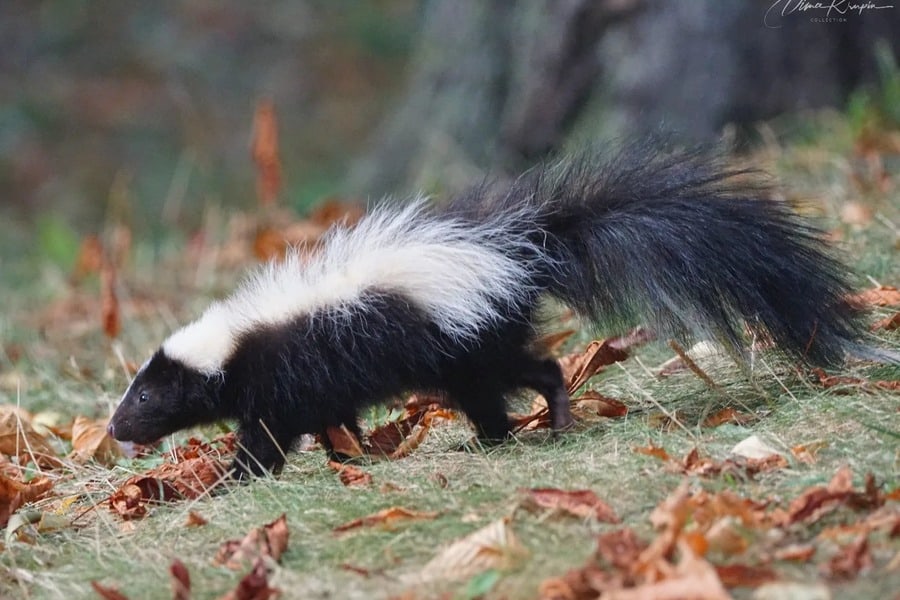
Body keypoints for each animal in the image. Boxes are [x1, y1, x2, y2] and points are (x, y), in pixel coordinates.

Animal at [105, 144, 872, 478]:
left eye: (146, 394)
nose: (114, 427)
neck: (237, 340)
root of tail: (519, 248)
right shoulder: (311, 379)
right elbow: (332, 417)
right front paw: (350, 451)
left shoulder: (284, 370)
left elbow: (269, 432)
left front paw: (238, 476)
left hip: (468, 341)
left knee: (529, 374)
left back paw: (531, 427)